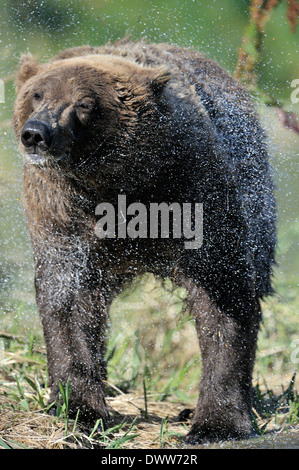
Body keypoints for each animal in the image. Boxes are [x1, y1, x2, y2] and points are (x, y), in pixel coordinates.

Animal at [12, 40, 278, 444]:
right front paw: (80, 408)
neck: (116, 186)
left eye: (85, 103)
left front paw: (217, 422)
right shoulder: (63, 214)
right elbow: (68, 301)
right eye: (37, 94)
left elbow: (223, 293)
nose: (36, 132)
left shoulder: (191, 188)